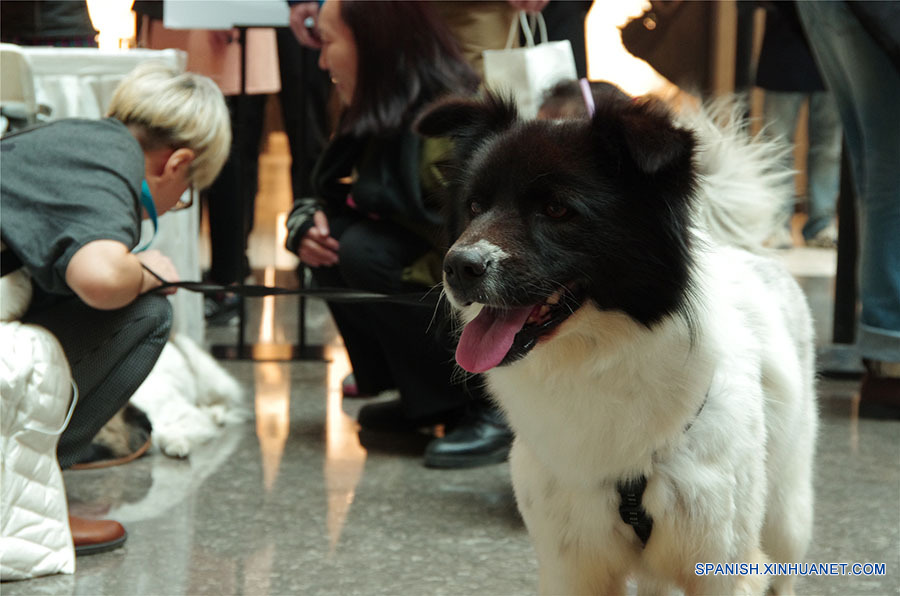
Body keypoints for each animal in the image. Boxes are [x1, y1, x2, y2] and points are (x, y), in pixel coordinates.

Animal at [418, 89, 820, 596]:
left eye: (557, 210)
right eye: (473, 206)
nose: (457, 268)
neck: (600, 357)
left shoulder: (723, 565)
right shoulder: (570, 566)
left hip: (786, 515)